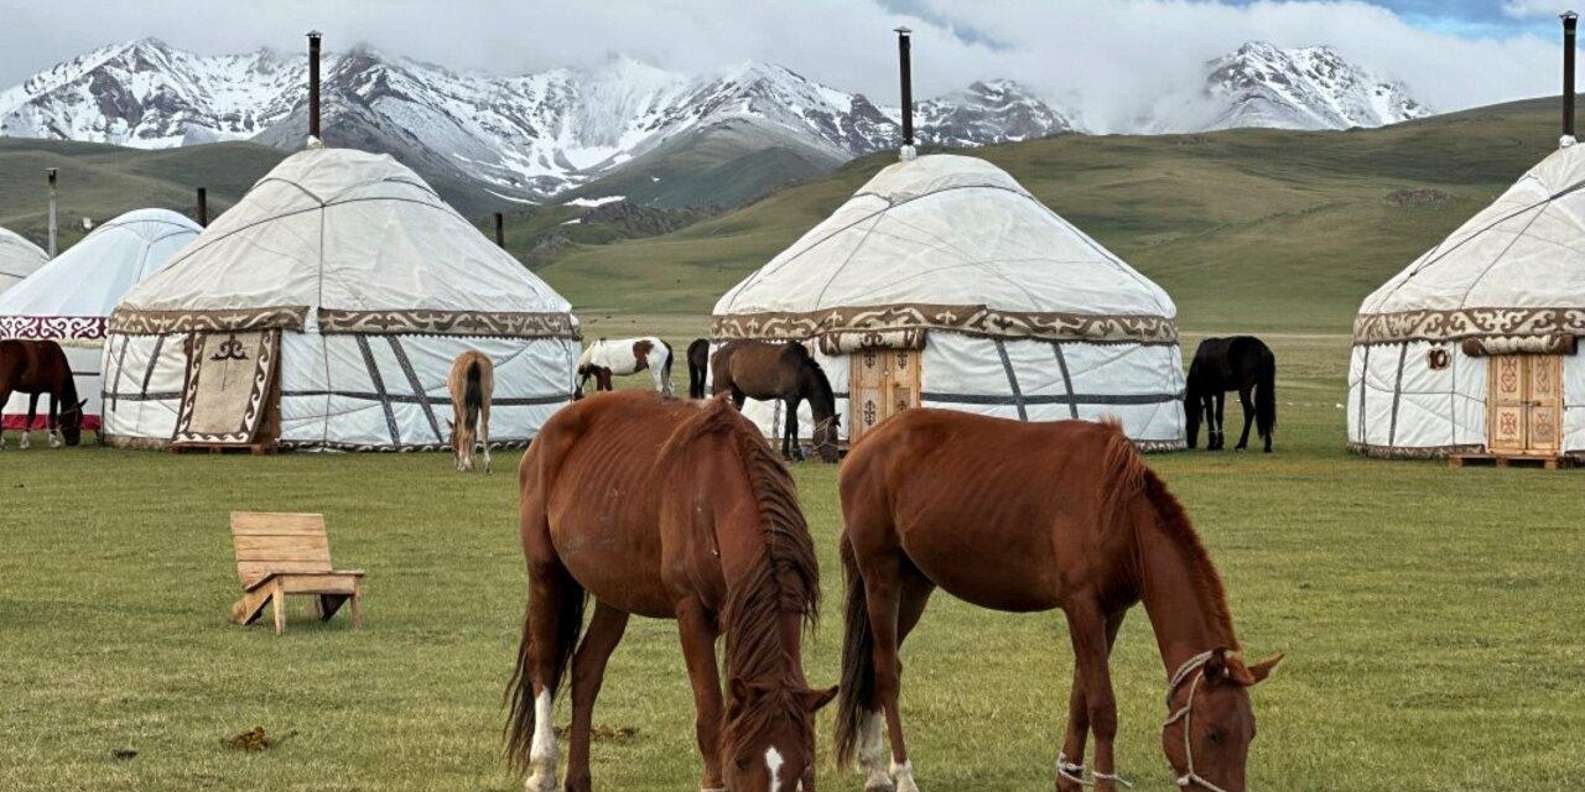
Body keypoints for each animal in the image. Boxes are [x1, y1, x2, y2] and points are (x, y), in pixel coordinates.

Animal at [507, 392, 836, 792]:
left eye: (804, 764)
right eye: (741, 762)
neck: (718, 492)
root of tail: (552, 427)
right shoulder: (691, 612)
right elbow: (711, 717)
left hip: (616, 592)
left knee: (586, 670)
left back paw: (578, 779)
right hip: (545, 571)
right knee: (543, 663)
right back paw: (543, 769)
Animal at [710, 340, 840, 463]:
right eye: (832, 436)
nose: (834, 460)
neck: (801, 370)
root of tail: (716, 354)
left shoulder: (795, 401)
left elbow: (792, 425)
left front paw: (794, 455)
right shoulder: (791, 400)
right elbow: (791, 425)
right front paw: (790, 455)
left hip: (739, 394)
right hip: (723, 390)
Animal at [834, 409, 1281, 792]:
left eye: (1251, 733)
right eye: (1213, 734)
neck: (1119, 514)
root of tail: (866, 443)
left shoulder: (1110, 612)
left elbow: (1080, 700)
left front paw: (1068, 779)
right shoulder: (1081, 607)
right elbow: (1102, 708)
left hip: (914, 585)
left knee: (877, 664)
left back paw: (875, 769)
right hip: (881, 575)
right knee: (886, 671)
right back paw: (902, 774)